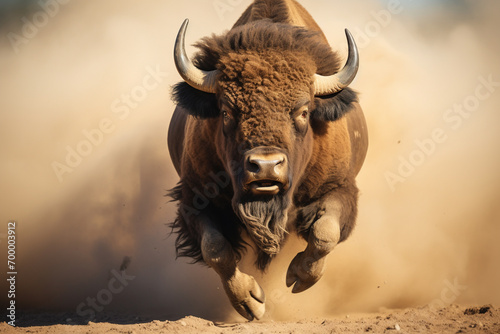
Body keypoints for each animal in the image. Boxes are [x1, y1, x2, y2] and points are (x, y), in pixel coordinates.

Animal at [168, 0, 368, 320]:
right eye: (226, 111)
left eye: (303, 111)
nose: (265, 166)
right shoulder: (194, 198)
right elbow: (215, 248)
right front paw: (250, 301)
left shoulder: (339, 188)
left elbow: (325, 233)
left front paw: (297, 276)